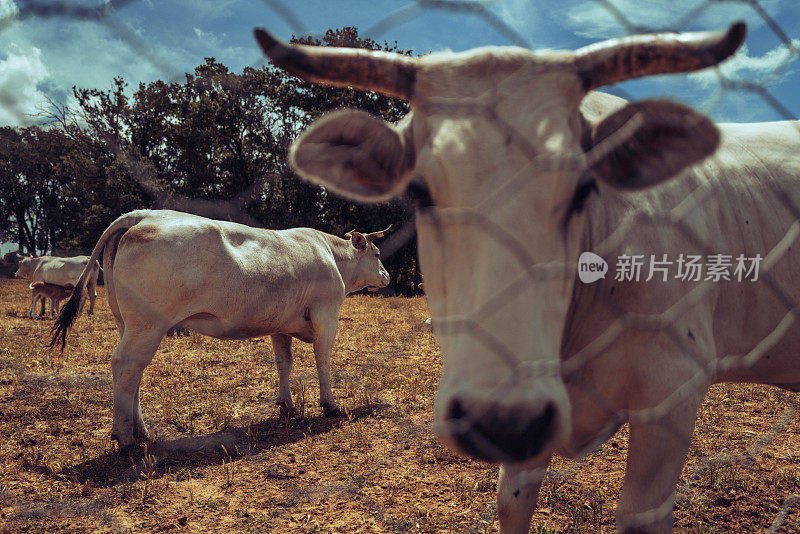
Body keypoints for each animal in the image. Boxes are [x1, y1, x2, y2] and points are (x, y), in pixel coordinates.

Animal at [50, 210, 390, 452]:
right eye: (376, 255)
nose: (387, 276)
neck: (330, 254)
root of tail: (142, 215)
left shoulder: (280, 324)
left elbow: (284, 363)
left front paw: (286, 405)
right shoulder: (326, 316)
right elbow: (323, 362)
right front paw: (330, 404)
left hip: (128, 324)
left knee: (133, 373)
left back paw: (140, 430)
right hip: (147, 325)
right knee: (125, 366)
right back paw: (125, 438)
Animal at [253, 23, 796, 532]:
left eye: (584, 187)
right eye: (420, 191)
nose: (500, 422)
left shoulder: (672, 394)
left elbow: (639, 510)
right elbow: (512, 502)